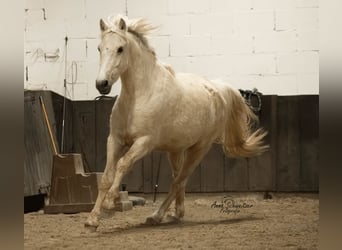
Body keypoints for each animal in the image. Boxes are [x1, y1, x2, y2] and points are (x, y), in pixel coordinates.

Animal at [85, 14, 268, 229]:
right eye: (99, 48)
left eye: (120, 48)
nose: (102, 84)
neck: (140, 95)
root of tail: (218, 89)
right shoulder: (115, 139)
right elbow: (106, 177)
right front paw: (92, 219)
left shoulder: (144, 143)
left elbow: (122, 164)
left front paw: (110, 202)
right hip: (175, 150)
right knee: (179, 179)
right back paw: (175, 213)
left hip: (199, 149)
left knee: (179, 180)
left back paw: (157, 216)